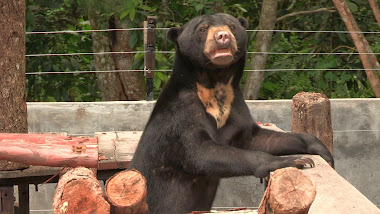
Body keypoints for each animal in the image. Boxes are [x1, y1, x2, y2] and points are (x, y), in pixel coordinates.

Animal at [130, 13, 332, 214]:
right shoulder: (181, 114)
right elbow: (198, 152)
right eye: (202, 28)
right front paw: (294, 161)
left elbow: (259, 138)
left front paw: (321, 151)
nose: (222, 36)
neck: (216, 85)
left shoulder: (235, 109)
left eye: (232, 26)